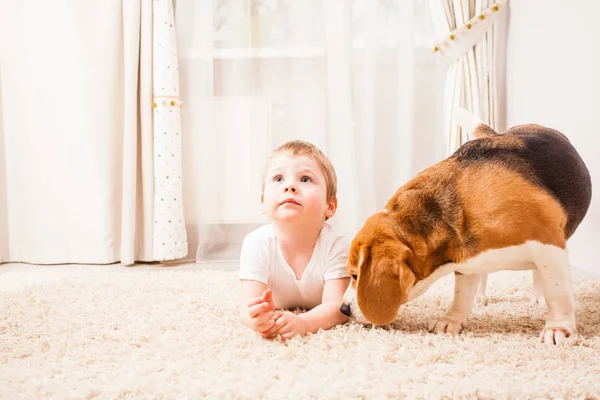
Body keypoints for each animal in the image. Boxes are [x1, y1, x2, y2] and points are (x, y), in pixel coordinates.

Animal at [340, 108, 592, 344]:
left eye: (355, 275)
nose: (343, 309)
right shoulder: (466, 259)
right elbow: (462, 294)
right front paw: (451, 321)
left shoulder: (548, 244)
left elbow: (558, 292)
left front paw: (558, 328)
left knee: (539, 274)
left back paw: (539, 297)